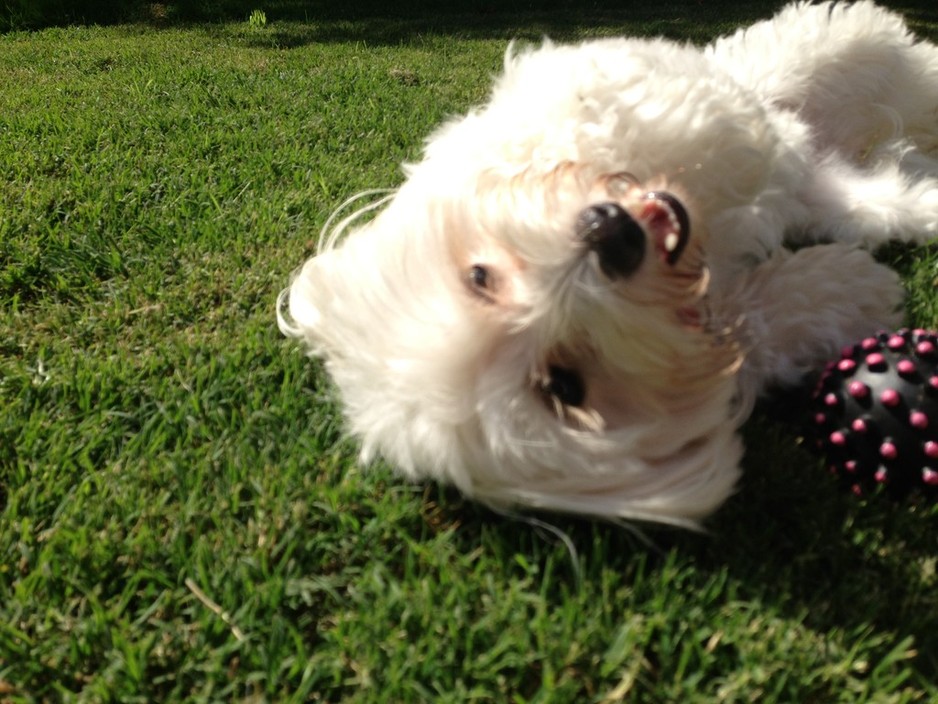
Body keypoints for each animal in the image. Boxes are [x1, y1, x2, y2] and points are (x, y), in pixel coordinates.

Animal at [278, 2, 936, 524]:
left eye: (479, 278)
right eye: (563, 384)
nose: (611, 238)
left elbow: (620, 107)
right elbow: (763, 314)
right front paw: (846, 286)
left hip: (827, 57)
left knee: (868, 55)